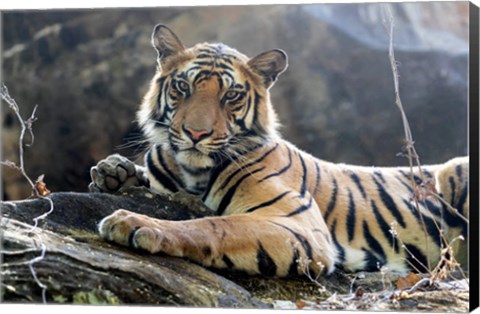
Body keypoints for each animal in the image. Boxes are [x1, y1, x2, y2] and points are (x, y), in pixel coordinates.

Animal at [90, 25, 468, 278]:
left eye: (231, 96)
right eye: (183, 87)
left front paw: (135, 222)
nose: (196, 133)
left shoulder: (298, 224)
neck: (192, 173)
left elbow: (213, 225)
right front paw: (112, 172)